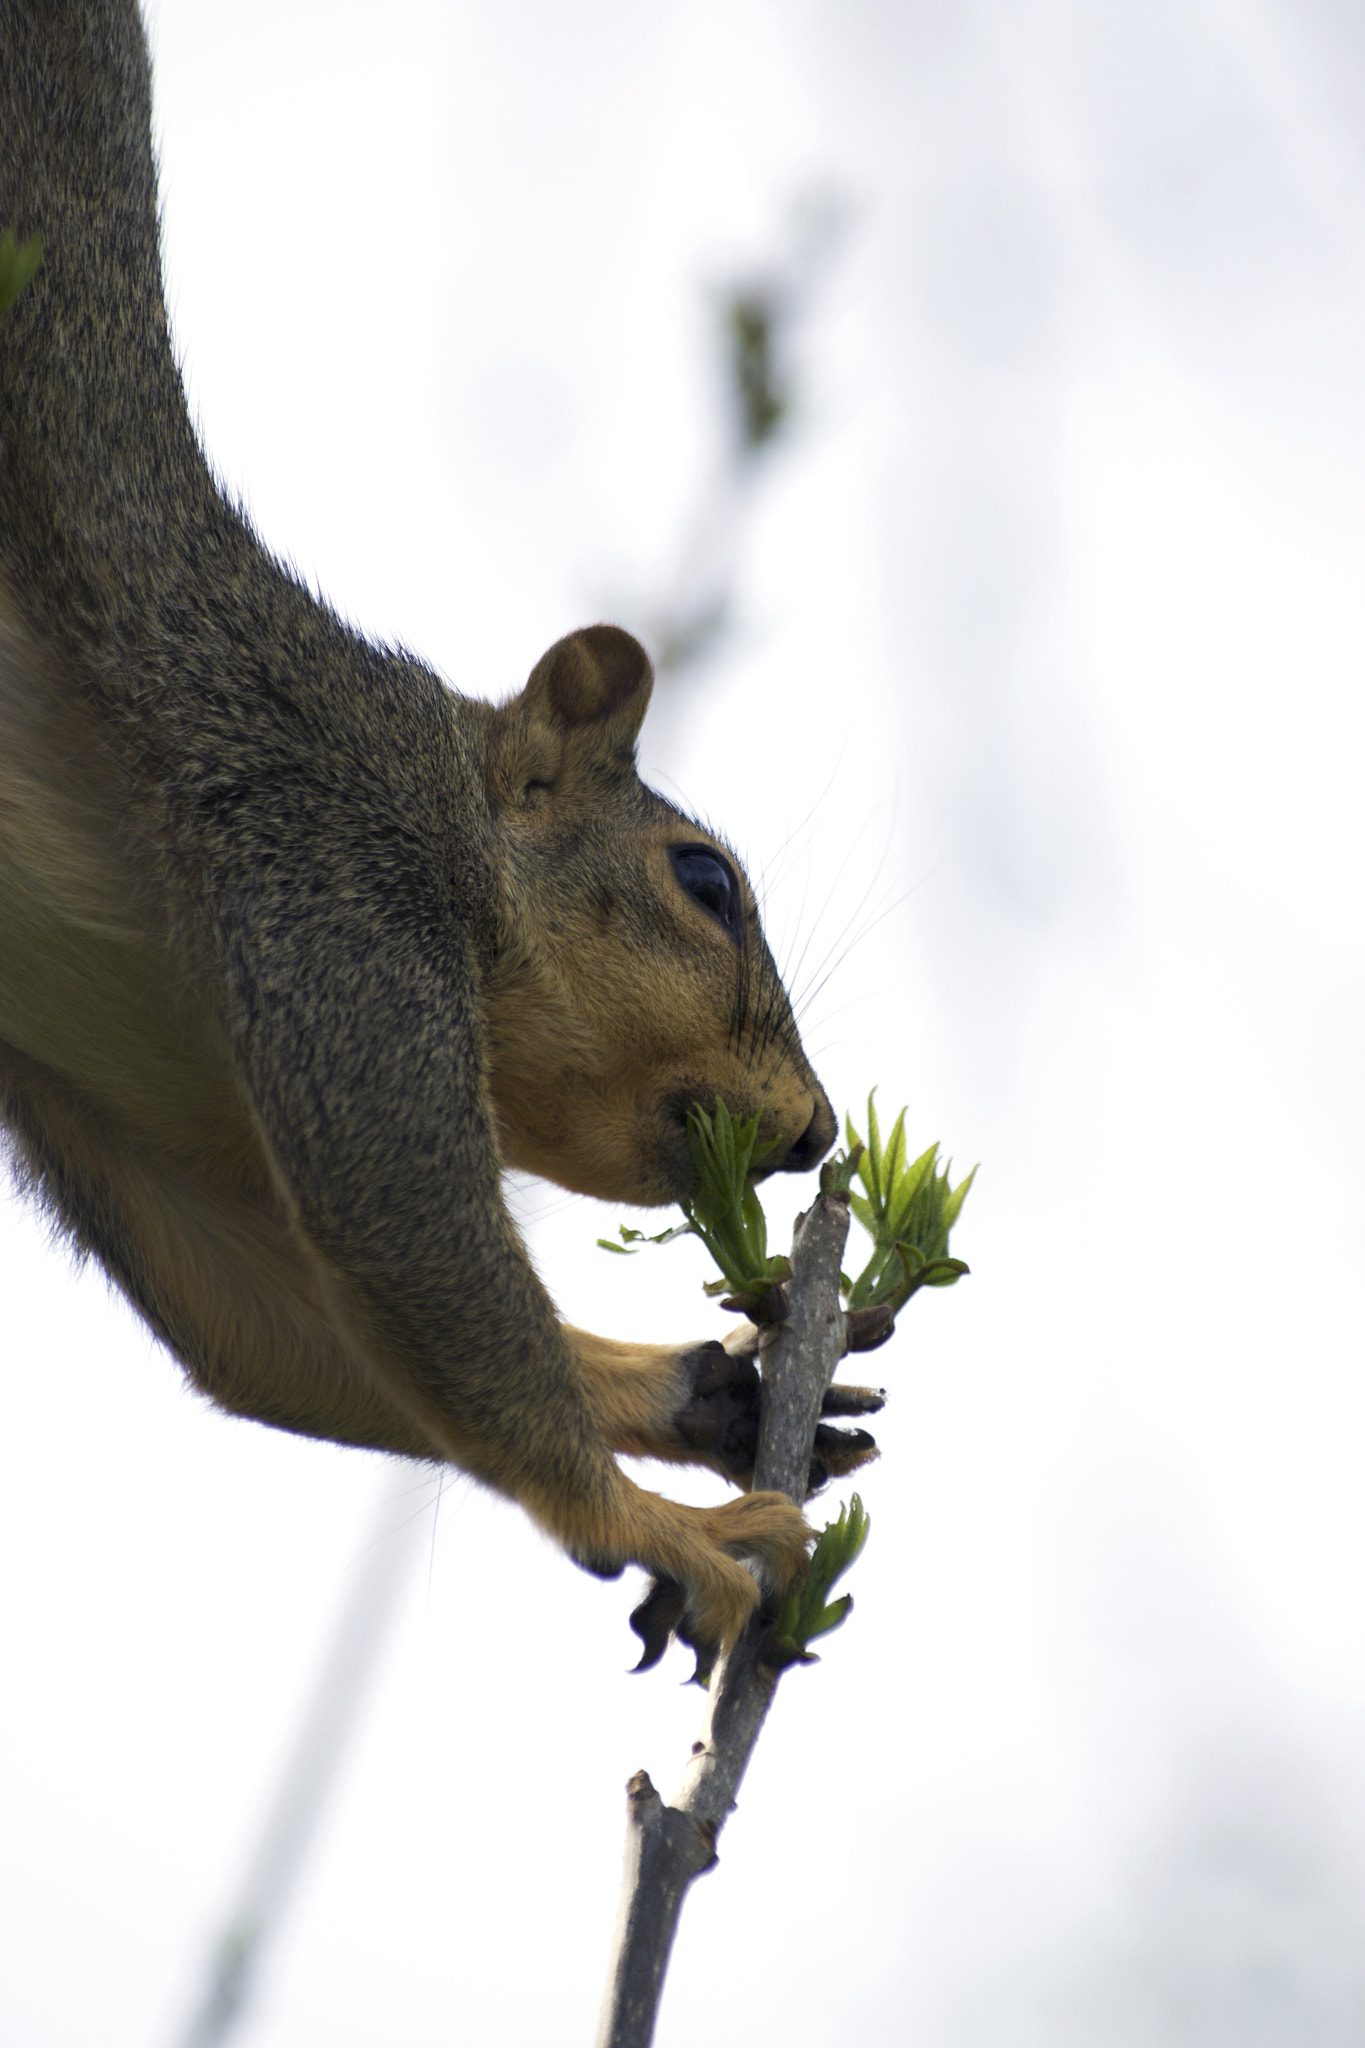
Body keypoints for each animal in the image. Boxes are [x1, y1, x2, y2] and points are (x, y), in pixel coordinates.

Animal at [0, 0, 879, 1654]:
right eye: (704, 879)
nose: (815, 1135)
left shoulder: (115, 1098)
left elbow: (259, 1316)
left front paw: (700, 1396)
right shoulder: (326, 884)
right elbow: (419, 1253)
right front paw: (663, 1524)